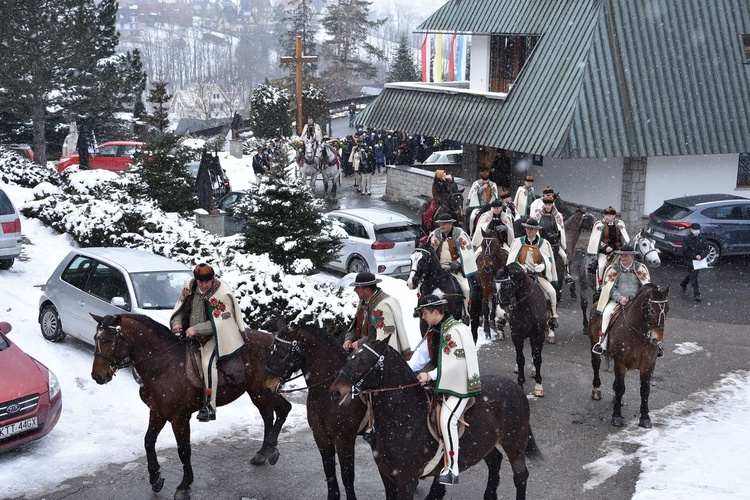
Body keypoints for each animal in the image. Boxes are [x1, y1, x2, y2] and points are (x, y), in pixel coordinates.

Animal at [89, 314, 292, 498]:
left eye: (108, 340)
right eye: (95, 339)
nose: (97, 376)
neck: (164, 365)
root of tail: (272, 339)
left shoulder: (179, 418)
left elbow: (184, 450)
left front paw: (184, 485)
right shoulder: (158, 412)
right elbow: (148, 441)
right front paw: (155, 478)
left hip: (262, 391)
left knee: (277, 412)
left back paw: (268, 451)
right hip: (260, 391)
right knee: (274, 413)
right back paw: (265, 452)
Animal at [264, 324, 370, 500]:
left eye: (283, 352)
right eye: (271, 349)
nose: (266, 386)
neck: (327, 392)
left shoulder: (344, 439)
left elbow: (347, 476)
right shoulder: (321, 436)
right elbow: (329, 470)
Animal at [328, 338, 540, 498]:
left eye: (364, 361)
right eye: (349, 357)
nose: (335, 392)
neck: (402, 419)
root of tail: (515, 387)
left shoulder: (407, 479)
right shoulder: (386, 476)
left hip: (515, 444)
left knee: (520, 476)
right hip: (485, 443)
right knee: (495, 460)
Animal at [500, 262, 552, 398]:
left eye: (508, 284)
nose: (502, 305)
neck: (527, 306)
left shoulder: (538, 336)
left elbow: (537, 359)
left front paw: (538, 386)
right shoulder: (517, 336)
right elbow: (520, 359)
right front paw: (520, 382)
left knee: (535, 354)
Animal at [584, 284, 672, 428]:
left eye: (668, 309)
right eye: (651, 310)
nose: (657, 339)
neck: (639, 335)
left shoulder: (649, 365)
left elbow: (645, 390)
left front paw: (645, 418)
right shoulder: (620, 363)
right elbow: (621, 387)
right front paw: (617, 417)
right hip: (593, 345)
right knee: (596, 365)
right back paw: (596, 390)